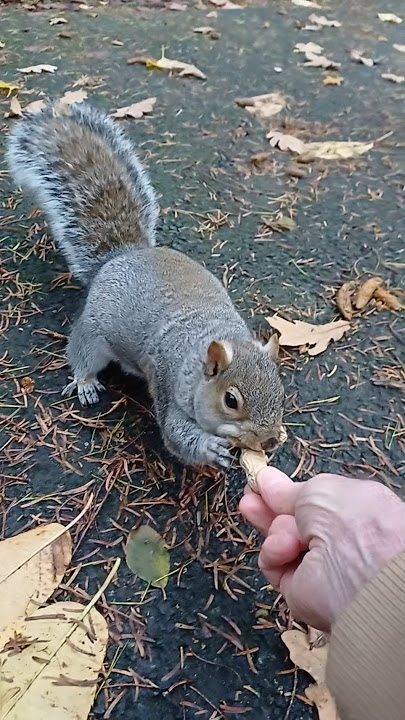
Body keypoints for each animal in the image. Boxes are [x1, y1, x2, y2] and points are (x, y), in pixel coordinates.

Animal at [7, 102, 285, 469]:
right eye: (230, 400)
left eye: (280, 391)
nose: (269, 441)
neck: (209, 340)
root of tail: (124, 255)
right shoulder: (170, 385)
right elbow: (176, 435)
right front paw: (209, 447)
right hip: (94, 333)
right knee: (81, 353)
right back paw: (85, 382)